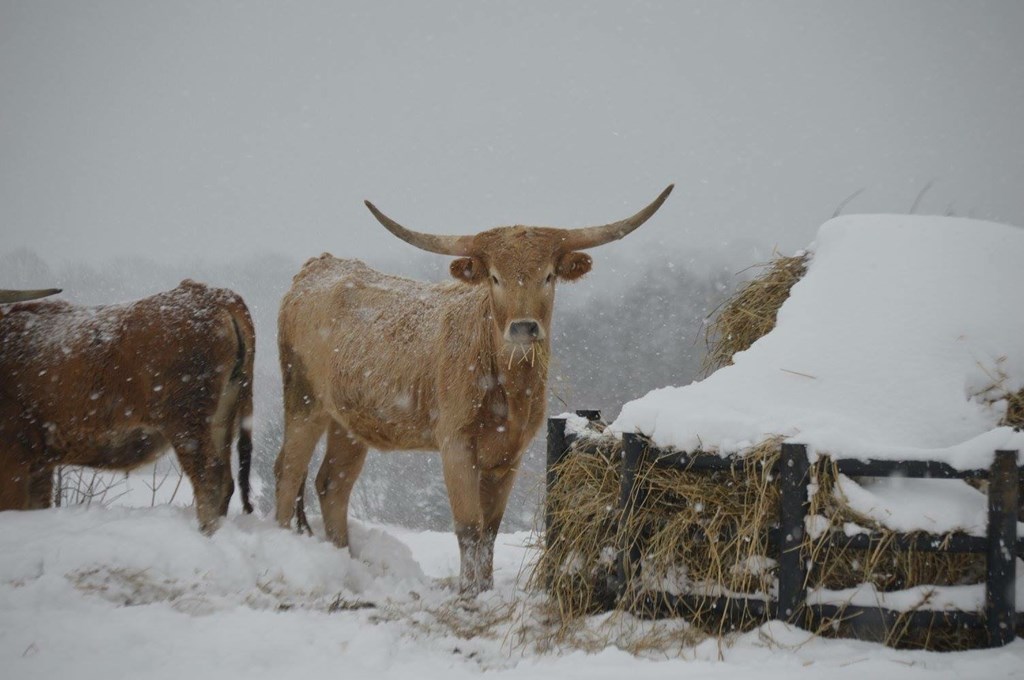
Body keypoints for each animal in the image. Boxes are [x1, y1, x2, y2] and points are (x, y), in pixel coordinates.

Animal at [0, 280, 255, 533]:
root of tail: (212, 294)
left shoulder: (13, 461)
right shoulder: (40, 466)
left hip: (186, 422)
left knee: (209, 476)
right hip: (222, 418)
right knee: (225, 479)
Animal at [274, 185, 673, 594]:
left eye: (547, 275)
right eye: (495, 277)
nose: (523, 328)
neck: (508, 389)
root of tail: (318, 266)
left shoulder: (510, 453)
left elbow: (491, 529)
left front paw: (486, 587)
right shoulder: (456, 443)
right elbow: (469, 526)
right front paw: (469, 592)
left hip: (348, 423)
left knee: (332, 483)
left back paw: (347, 563)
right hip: (303, 398)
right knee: (288, 472)